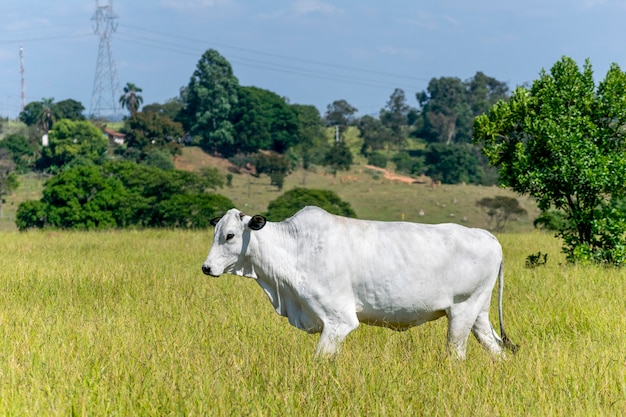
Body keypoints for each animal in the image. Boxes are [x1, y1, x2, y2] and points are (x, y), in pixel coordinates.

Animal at [201, 205, 516, 358]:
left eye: (230, 235)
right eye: (215, 232)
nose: (206, 267)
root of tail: (488, 236)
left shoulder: (338, 321)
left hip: (462, 311)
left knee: (456, 354)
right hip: (478, 314)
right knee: (497, 350)